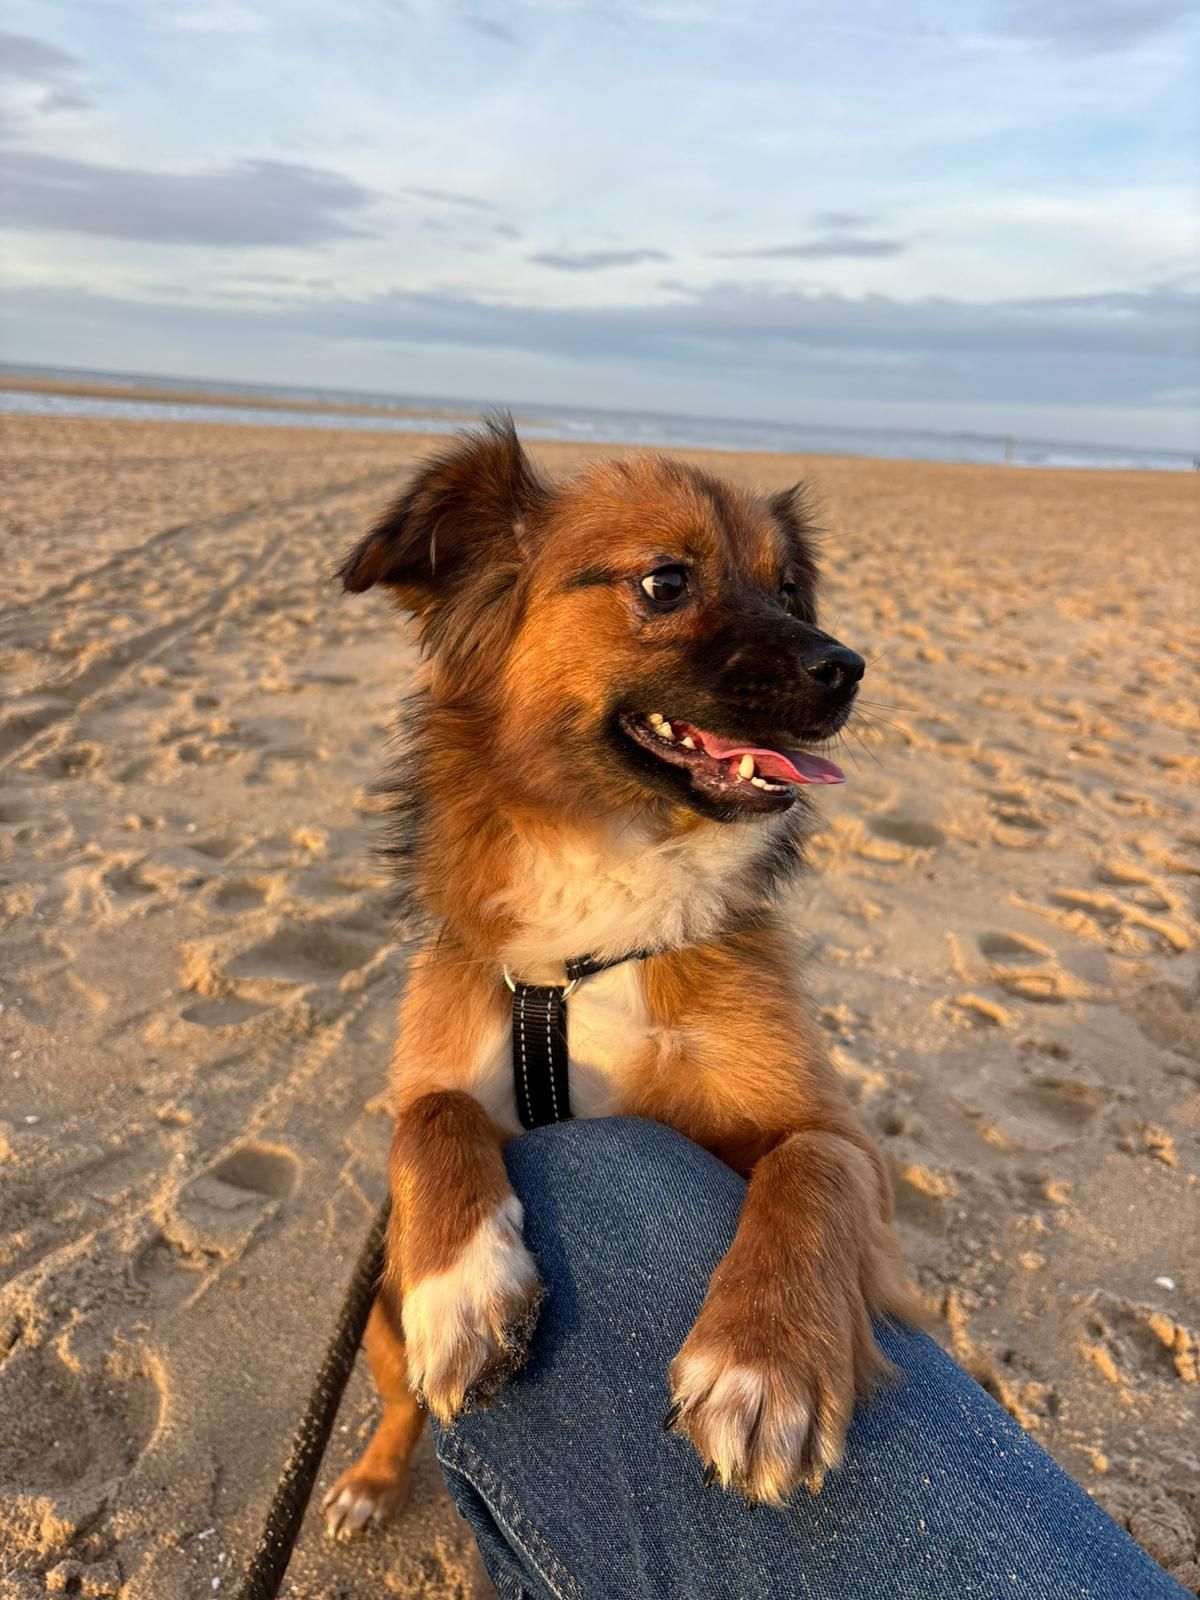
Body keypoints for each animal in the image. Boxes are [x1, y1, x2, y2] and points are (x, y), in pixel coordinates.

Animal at [323, 418, 914, 1539]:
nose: (847, 669)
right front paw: (466, 1289)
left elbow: (809, 1168)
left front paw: (764, 1361)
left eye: (789, 589)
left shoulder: (833, 1135)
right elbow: (429, 1120)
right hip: (376, 1313)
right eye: (666, 581)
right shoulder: (449, 1059)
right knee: (399, 1400)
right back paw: (371, 1479)